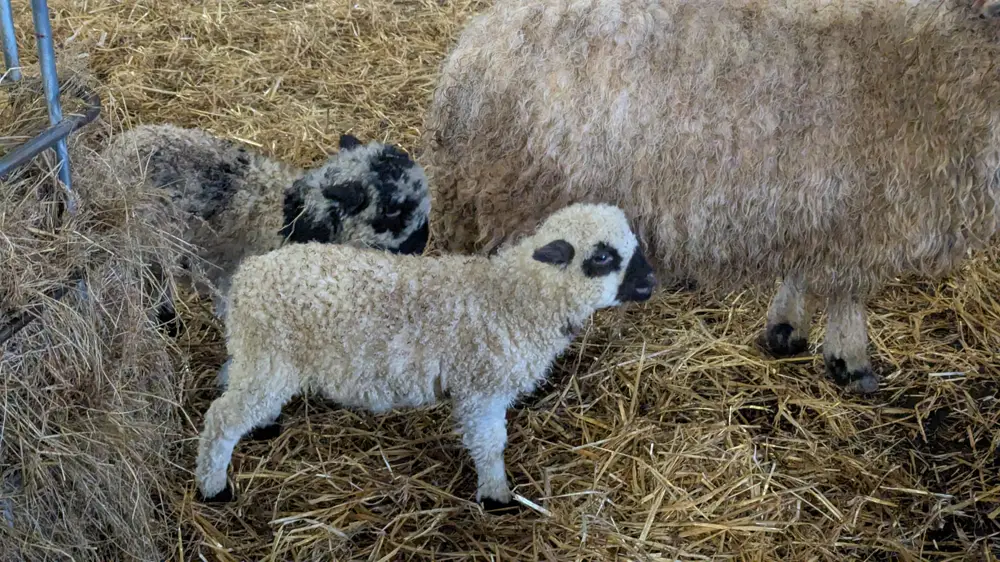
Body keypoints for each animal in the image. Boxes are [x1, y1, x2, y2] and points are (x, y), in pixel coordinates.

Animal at [194, 202, 657, 511]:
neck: (515, 296)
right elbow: (490, 444)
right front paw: (497, 495)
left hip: (261, 357)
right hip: (270, 360)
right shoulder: (483, 388)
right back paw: (214, 487)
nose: (651, 281)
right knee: (221, 419)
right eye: (602, 257)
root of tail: (247, 278)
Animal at [421, 0, 1000, 394]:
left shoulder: (813, 205)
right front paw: (851, 361)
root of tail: (466, 62)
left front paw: (786, 330)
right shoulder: (863, 216)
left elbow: (806, 276)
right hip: (515, 198)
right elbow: (848, 292)